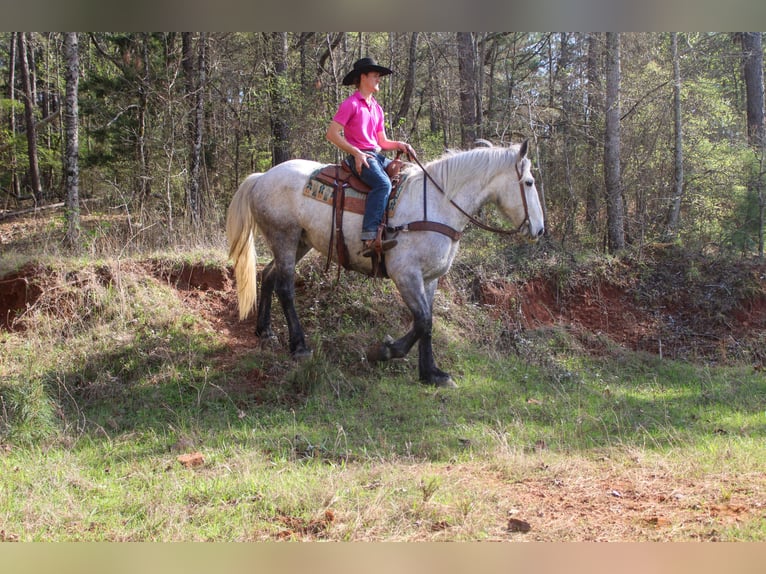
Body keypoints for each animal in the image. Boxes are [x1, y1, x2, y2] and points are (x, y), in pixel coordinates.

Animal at [226, 140, 545, 388]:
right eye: (529, 182)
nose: (540, 230)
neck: (436, 204)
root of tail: (263, 176)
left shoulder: (430, 278)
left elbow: (428, 323)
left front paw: (431, 373)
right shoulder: (405, 274)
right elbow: (423, 320)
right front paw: (385, 351)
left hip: (300, 242)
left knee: (268, 275)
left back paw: (265, 331)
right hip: (285, 236)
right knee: (285, 288)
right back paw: (299, 346)